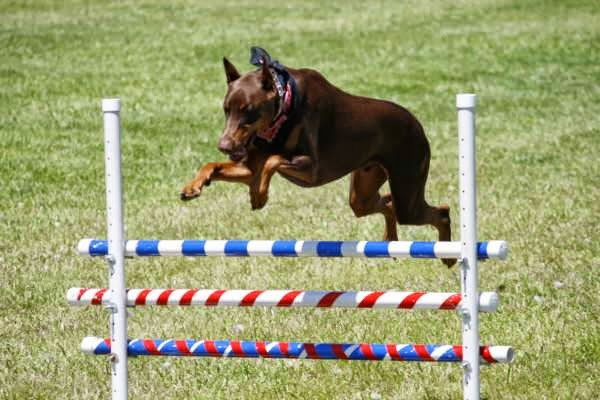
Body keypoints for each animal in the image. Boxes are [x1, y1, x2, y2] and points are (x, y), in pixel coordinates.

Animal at [180, 47, 452, 266]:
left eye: (249, 110)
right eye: (226, 109)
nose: (224, 145)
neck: (285, 107)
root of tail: (417, 124)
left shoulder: (312, 170)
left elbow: (273, 161)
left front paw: (259, 195)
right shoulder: (249, 166)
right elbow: (216, 166)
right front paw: (193, 187)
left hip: (408, 186)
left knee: (440, 212)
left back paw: (448, 255)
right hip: (363, 190)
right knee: (385, 202)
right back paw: (390, 240)